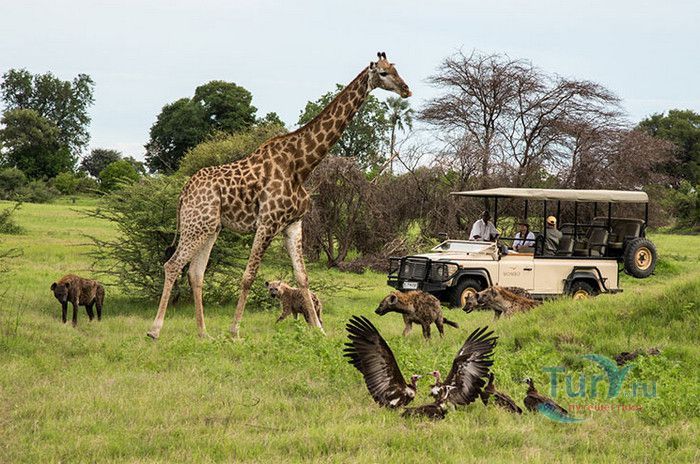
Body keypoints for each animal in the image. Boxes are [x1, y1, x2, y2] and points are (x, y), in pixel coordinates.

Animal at [147, 52, 412, 340]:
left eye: (396, 69)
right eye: (383, 73)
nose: (406, 89)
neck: (301, 165)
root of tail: (185, 191)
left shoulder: (293, 224)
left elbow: (302, 277)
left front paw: (319, 330)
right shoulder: (267, 221)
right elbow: (249, 276)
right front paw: (235, 331)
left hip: (210, 227)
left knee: (195, 273)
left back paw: (204, 334)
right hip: (197, 224)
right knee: (173, 265)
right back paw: (155, 330)